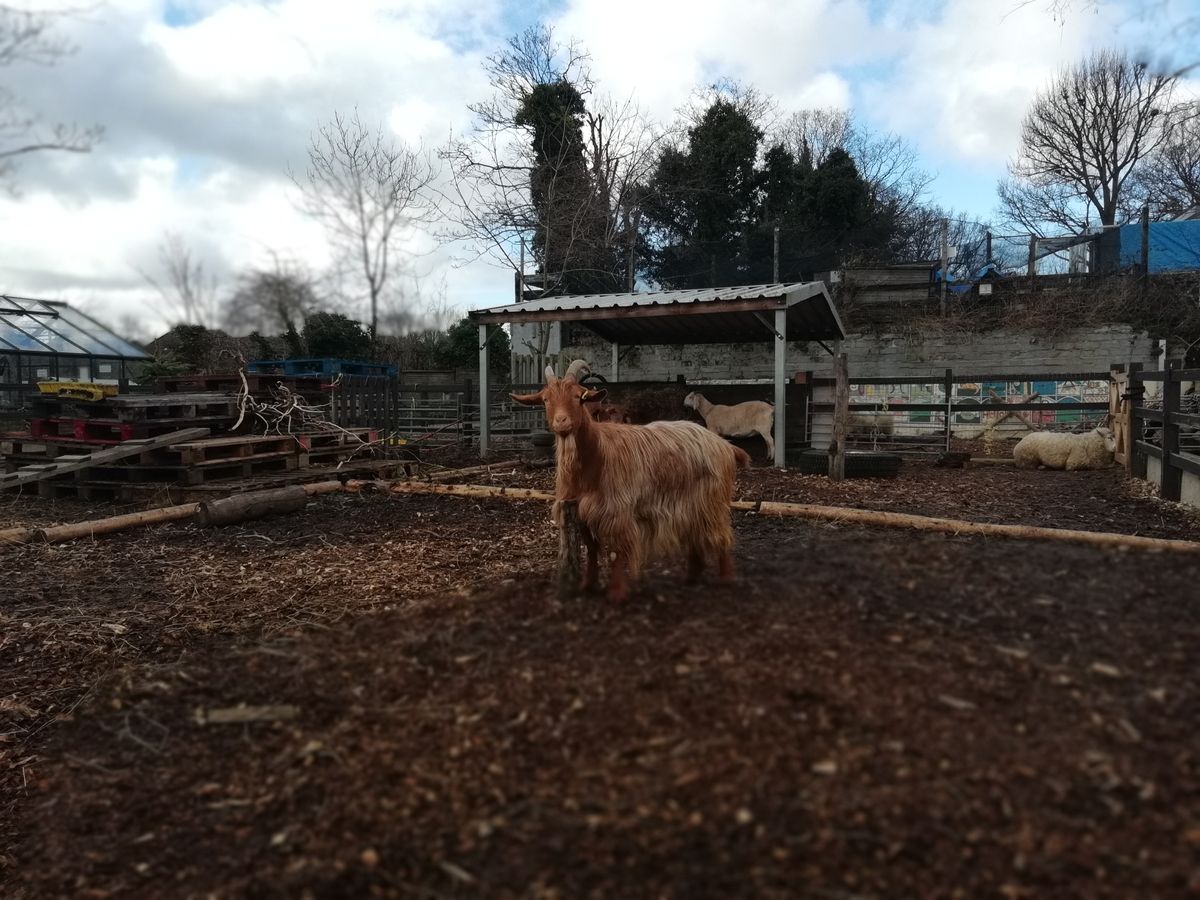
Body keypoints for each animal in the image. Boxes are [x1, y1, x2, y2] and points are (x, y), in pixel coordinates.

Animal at [513, 365, 750, 603]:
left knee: (719, 534)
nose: (561, 422)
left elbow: (615, 552)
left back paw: (726, 578)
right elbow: (591, 548)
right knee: (696, 534)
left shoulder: (616, 510)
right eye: (545, 399)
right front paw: (587, 585)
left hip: (712, 500)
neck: (596, 455)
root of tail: (724, 445)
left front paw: (617, 593)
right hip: (691, 504)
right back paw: (692, 576)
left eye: (578, 397)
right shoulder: (580, 510)